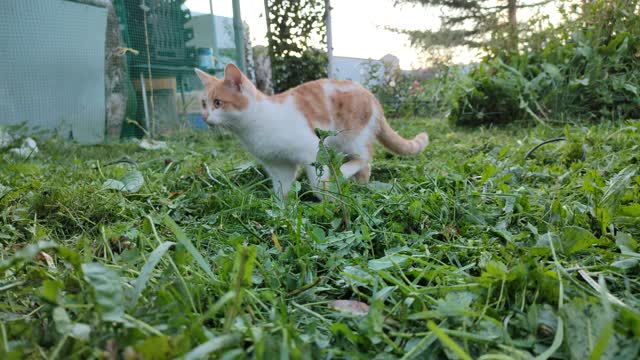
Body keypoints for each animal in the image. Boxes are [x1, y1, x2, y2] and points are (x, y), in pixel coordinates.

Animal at [192, 64, 428, 200]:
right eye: (203, 103)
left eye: (218, 103)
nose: (204, 117)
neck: (255, 123)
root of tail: (371, 95)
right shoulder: (278, 166)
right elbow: (281, 190)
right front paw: (283, 212)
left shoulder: (311, 150)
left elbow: (317, 184)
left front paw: (327, 197)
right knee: (365, 165)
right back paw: (359, 184)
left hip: (350, 138)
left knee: (366, 157)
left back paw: (343, 174)